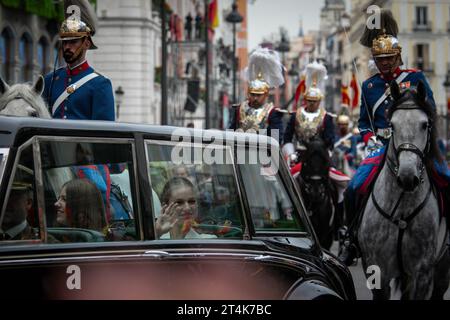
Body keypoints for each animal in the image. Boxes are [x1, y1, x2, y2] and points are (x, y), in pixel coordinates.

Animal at [358, 80, 450, 300]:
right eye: (392, 125)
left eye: (424, 124)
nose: (407, 177)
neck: (401, 209)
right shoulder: (377, 271)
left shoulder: (422, 273)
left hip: (442, 271)